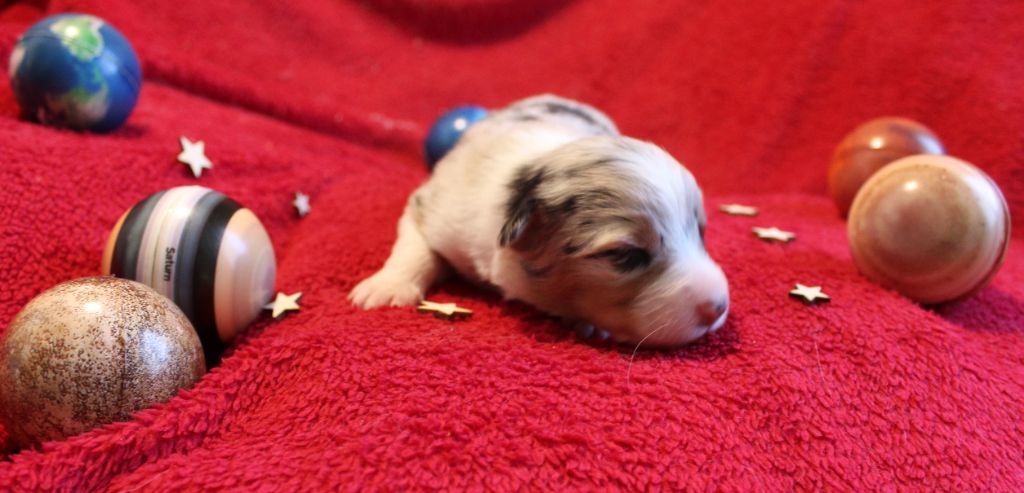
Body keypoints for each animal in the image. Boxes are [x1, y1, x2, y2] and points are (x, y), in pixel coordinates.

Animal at [349, 95, 729, 347]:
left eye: (700, 233)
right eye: (625, 255)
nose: (719, 307)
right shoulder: (432, 204)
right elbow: (413, 245)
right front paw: (385, 288)